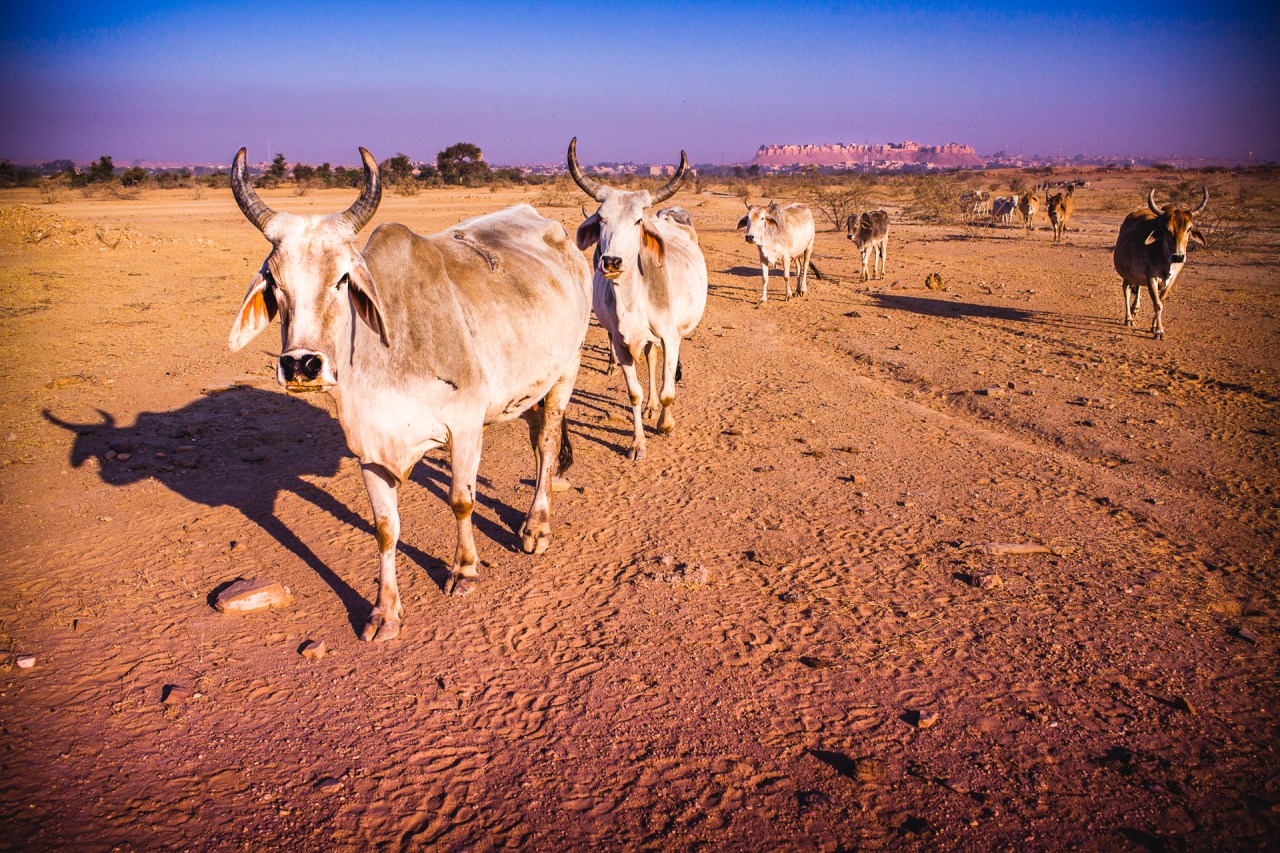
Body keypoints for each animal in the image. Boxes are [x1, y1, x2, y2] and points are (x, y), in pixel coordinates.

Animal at [228, 147, 592, 638]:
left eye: (342, 280)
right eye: (275, 284)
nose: (301, 364)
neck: (388, 353)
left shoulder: (465, 428)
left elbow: (461, 500)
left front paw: (464, 571)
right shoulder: (369, 446)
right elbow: (385, 527)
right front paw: (385, 610)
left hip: (565, 371)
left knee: (548, 445)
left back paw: (536, 527)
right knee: (538, 439)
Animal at [568, 138, 708, 462]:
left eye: (636, 221)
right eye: (602, 219)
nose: (611, 261)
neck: (631, 301)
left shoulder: (669, 336)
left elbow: (669, 392)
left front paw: (666, 425)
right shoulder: (622, 343)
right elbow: (634, 393)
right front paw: (637, 443)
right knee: (651, 359)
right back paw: (651, 406)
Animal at [1113, 187, 1208, 340]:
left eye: (1188, 229)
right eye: (1166, 229)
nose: (1178, 256)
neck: (1166, 259)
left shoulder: (1172, 278)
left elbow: (1161, 301)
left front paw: (1153, 327)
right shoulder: (1151, 277)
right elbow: (1157, 304)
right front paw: (1159, 331)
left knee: (1138, 287)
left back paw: (1135, 309)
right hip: (1126, 274)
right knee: (1126, 290)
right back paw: (1129, 318)